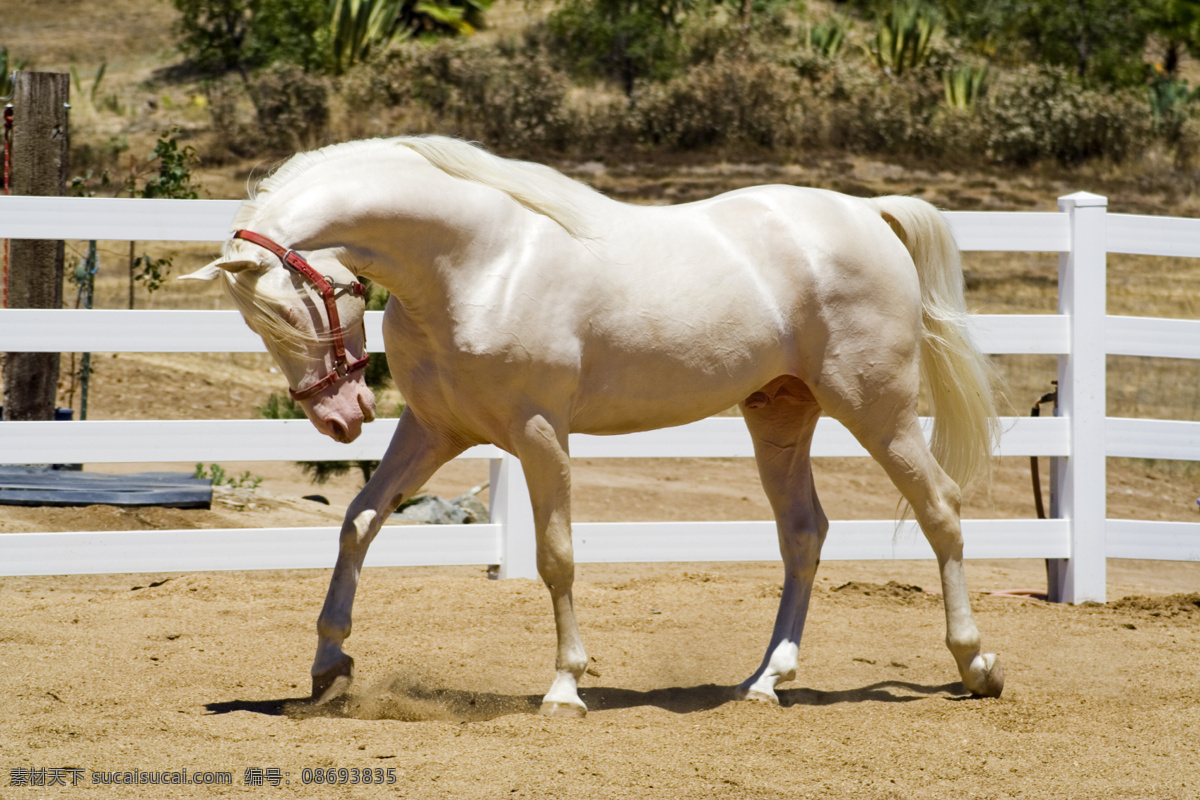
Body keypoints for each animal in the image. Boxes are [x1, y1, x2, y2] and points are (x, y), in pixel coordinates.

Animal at [182, 134, 1008, 714]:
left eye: (301, 307)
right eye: (259, 324)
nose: (340, 417)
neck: (477, 262)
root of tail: (868, 212)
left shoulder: (540, 433)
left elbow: (556, 556)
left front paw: (564, 689)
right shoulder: (436, 430)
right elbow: (358, 521)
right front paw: (329, 668)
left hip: (876, 408)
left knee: (940, 511)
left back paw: (976, 666)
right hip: (780, 414)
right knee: (804, 533)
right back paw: (765, 681)